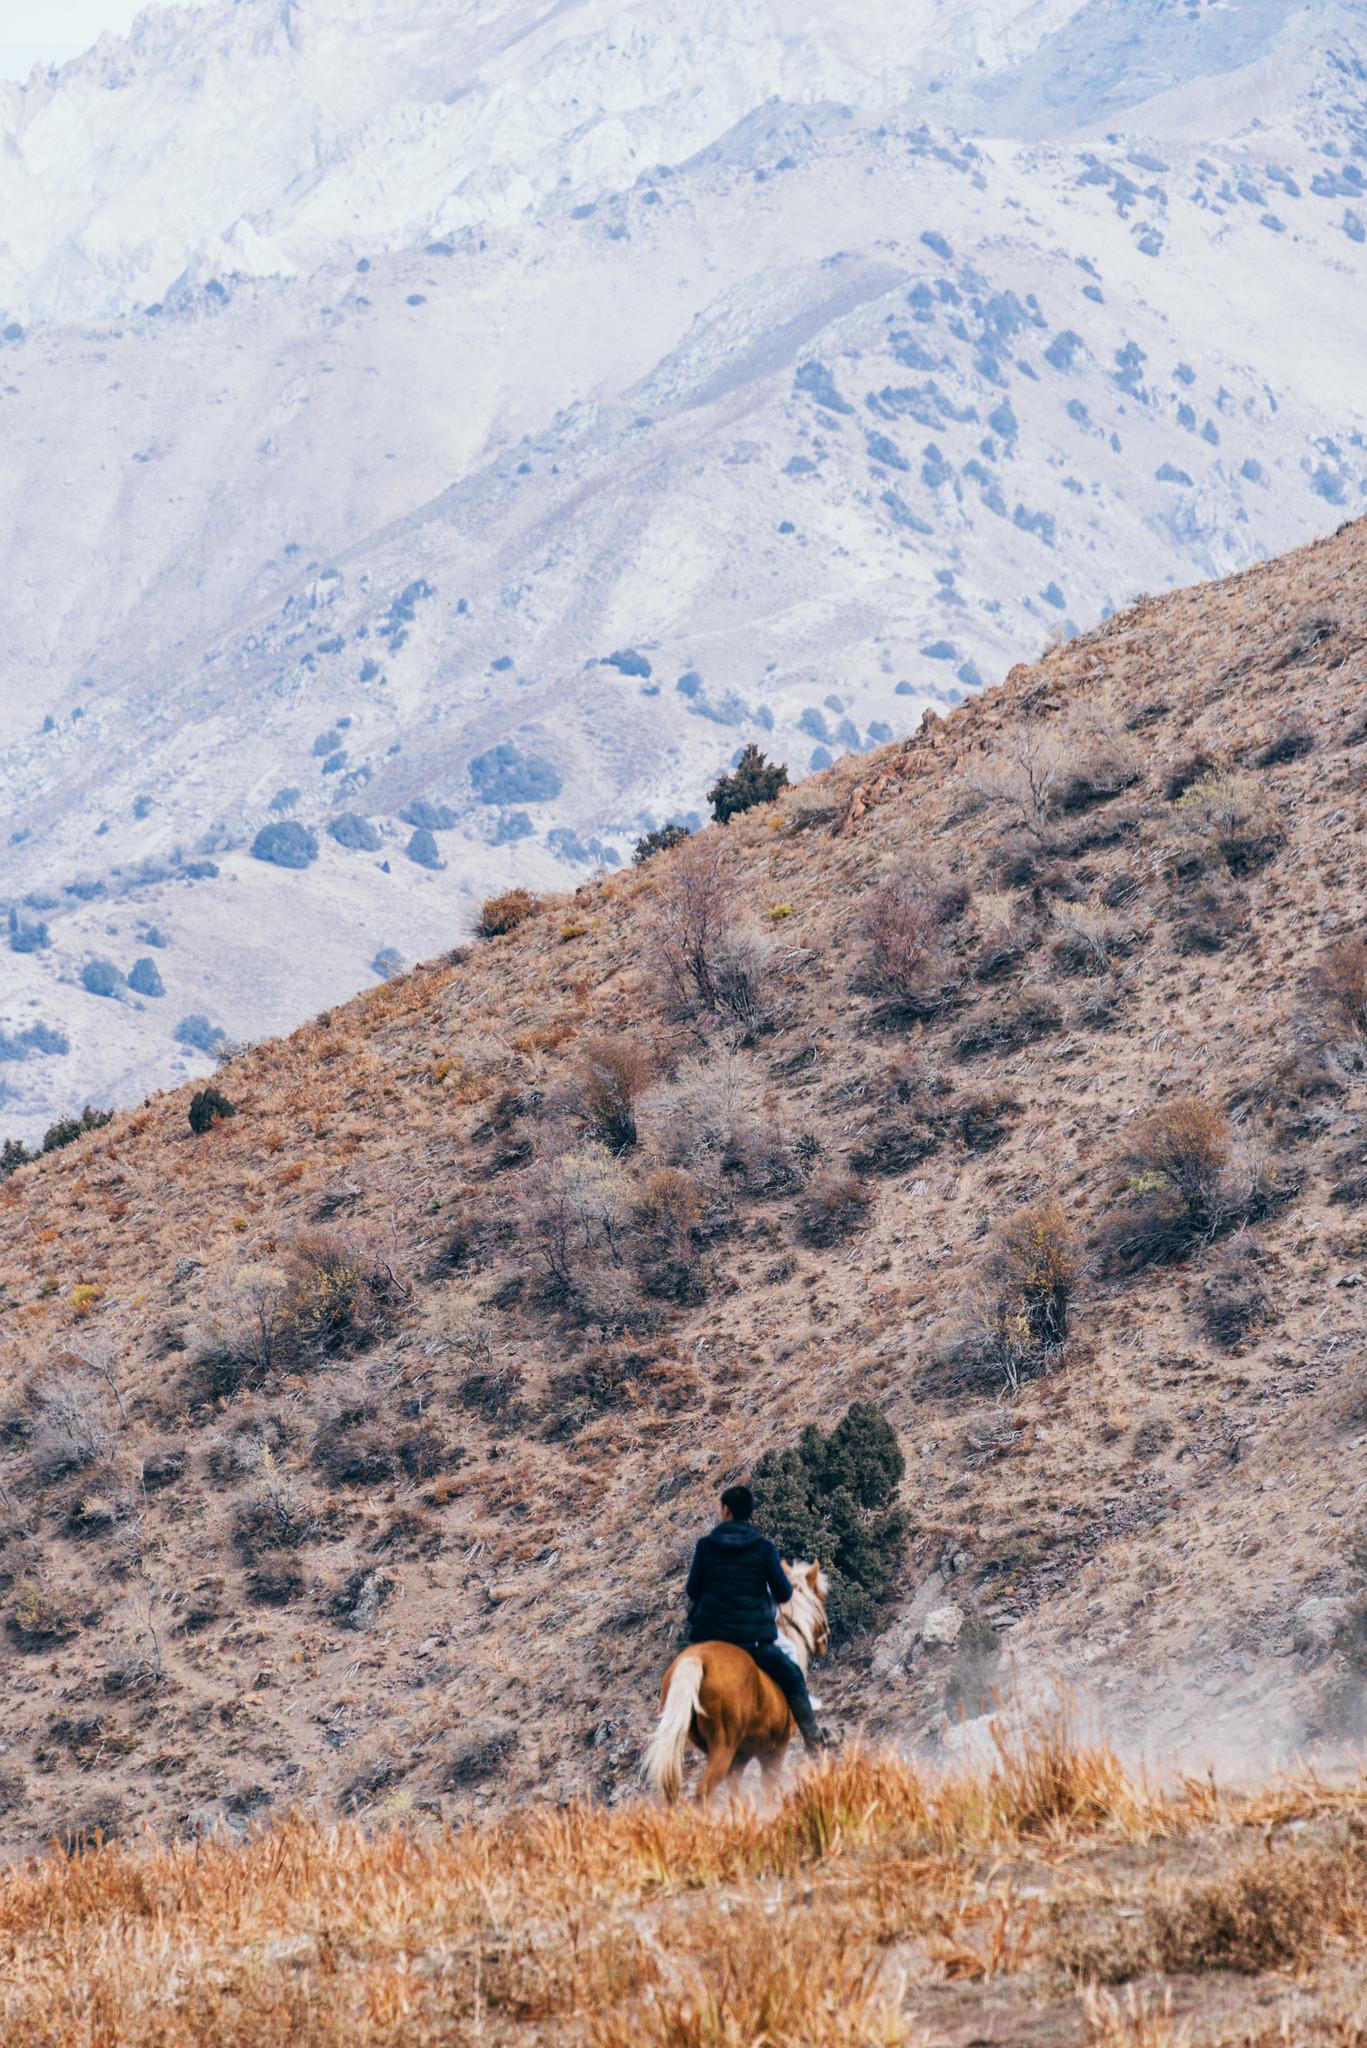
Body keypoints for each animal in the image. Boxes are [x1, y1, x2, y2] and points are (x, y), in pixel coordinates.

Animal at [643, 1556, 827, 1802]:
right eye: (820, 1598)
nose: (824, 1642)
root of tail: (696, 1658)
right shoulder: (774, 1750)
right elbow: (768, 1790)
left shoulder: (740, 1759)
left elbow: (735, 1793)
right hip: (725, 1747)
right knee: (703, 1792)